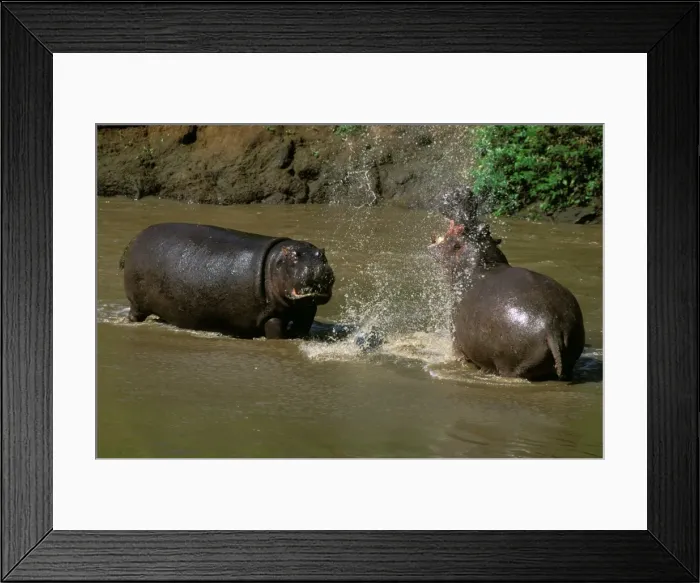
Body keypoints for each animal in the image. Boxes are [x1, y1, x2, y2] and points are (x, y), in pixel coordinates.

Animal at [119, 222, 335, 340]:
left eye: (322, 255)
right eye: (294, 256)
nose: (317, 267)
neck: (275, 262)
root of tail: (135, 238)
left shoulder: (306, 311)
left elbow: (303, 327)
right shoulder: (272, 316)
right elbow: (276, 332)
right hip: (137, 302)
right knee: (135, 314)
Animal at [428, 219, 585, 381]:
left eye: (457, 239)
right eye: (485, 230)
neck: (480, 265)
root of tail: (552, 327)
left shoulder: (456, 342)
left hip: (509, 365)